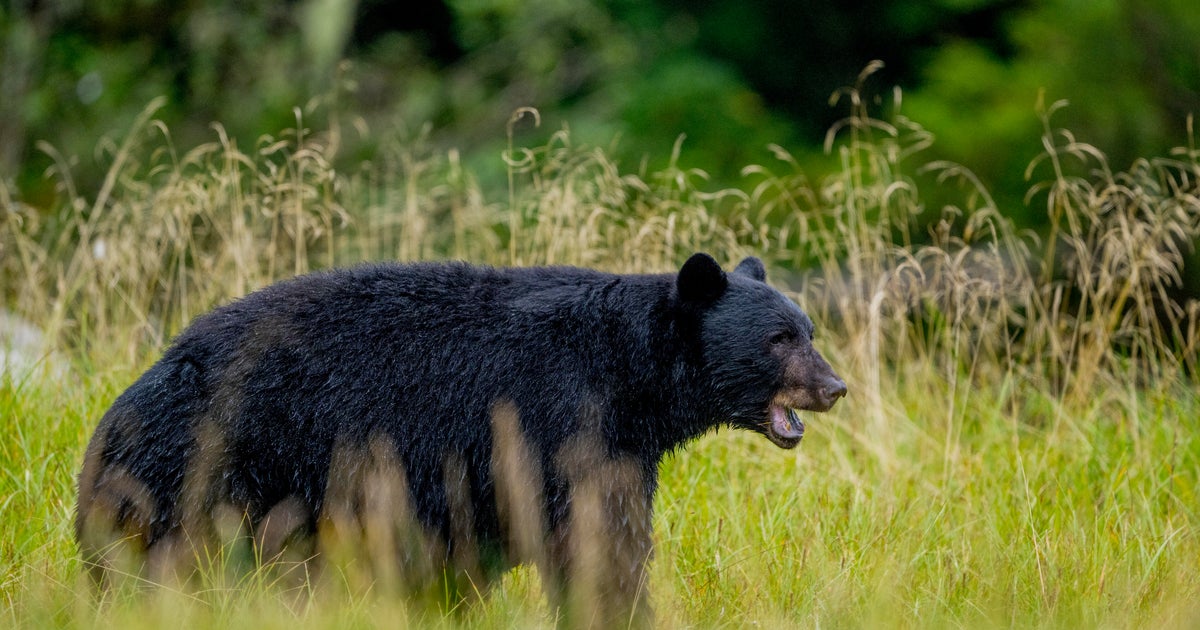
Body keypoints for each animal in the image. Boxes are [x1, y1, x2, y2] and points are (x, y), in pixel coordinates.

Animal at [75, 252, 846, 626]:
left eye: (809, 329)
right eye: (779, 340)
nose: (835, 386)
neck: (631, 378)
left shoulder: (609, 446)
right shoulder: (556, 424)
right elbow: (598, 542)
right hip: (208, 473)